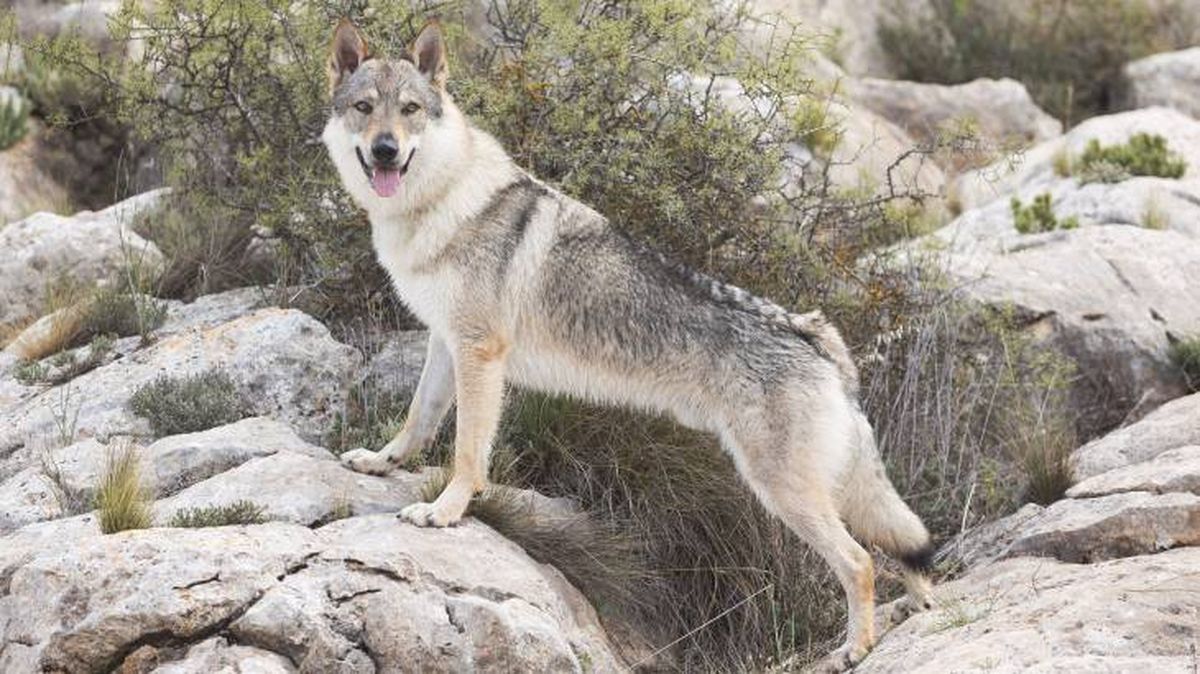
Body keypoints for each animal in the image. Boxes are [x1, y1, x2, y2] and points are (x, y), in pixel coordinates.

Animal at [322, 18, 934, 670]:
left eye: (410, 110)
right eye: (365, 108)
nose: (386, 150)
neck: (442, 202)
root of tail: (818, 335)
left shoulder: (479, 352)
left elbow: (466, 452)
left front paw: (444, 511)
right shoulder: (446, 341)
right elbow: (418, 421)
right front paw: (382, 462)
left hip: (784, 491)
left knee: (861, 562)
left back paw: (857, 647)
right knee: (901, 549)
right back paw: (916, 608)